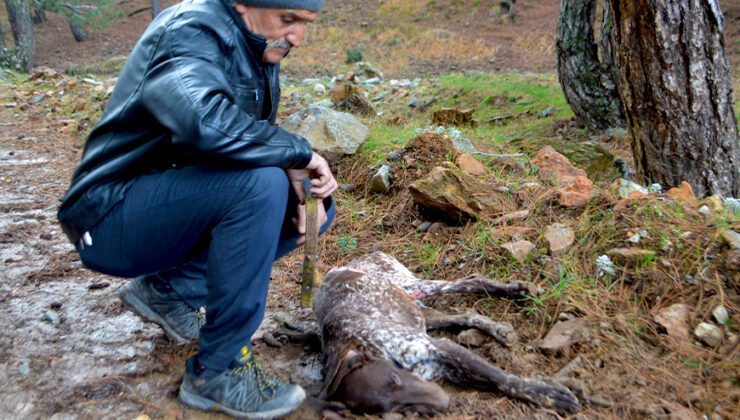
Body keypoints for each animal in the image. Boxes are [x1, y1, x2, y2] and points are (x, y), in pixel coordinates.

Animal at [312, 251, 580, 416]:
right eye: (395, 408)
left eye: (394, 379)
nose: (443, 403)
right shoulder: (444, 363)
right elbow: (493, 378)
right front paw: (548, 383)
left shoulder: (442, 347)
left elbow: (503, 378)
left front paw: (548, 395)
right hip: (419, 312)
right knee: (464, 314)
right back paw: (498, 329)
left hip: (415, 285)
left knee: (469, 280)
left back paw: (515, 289)